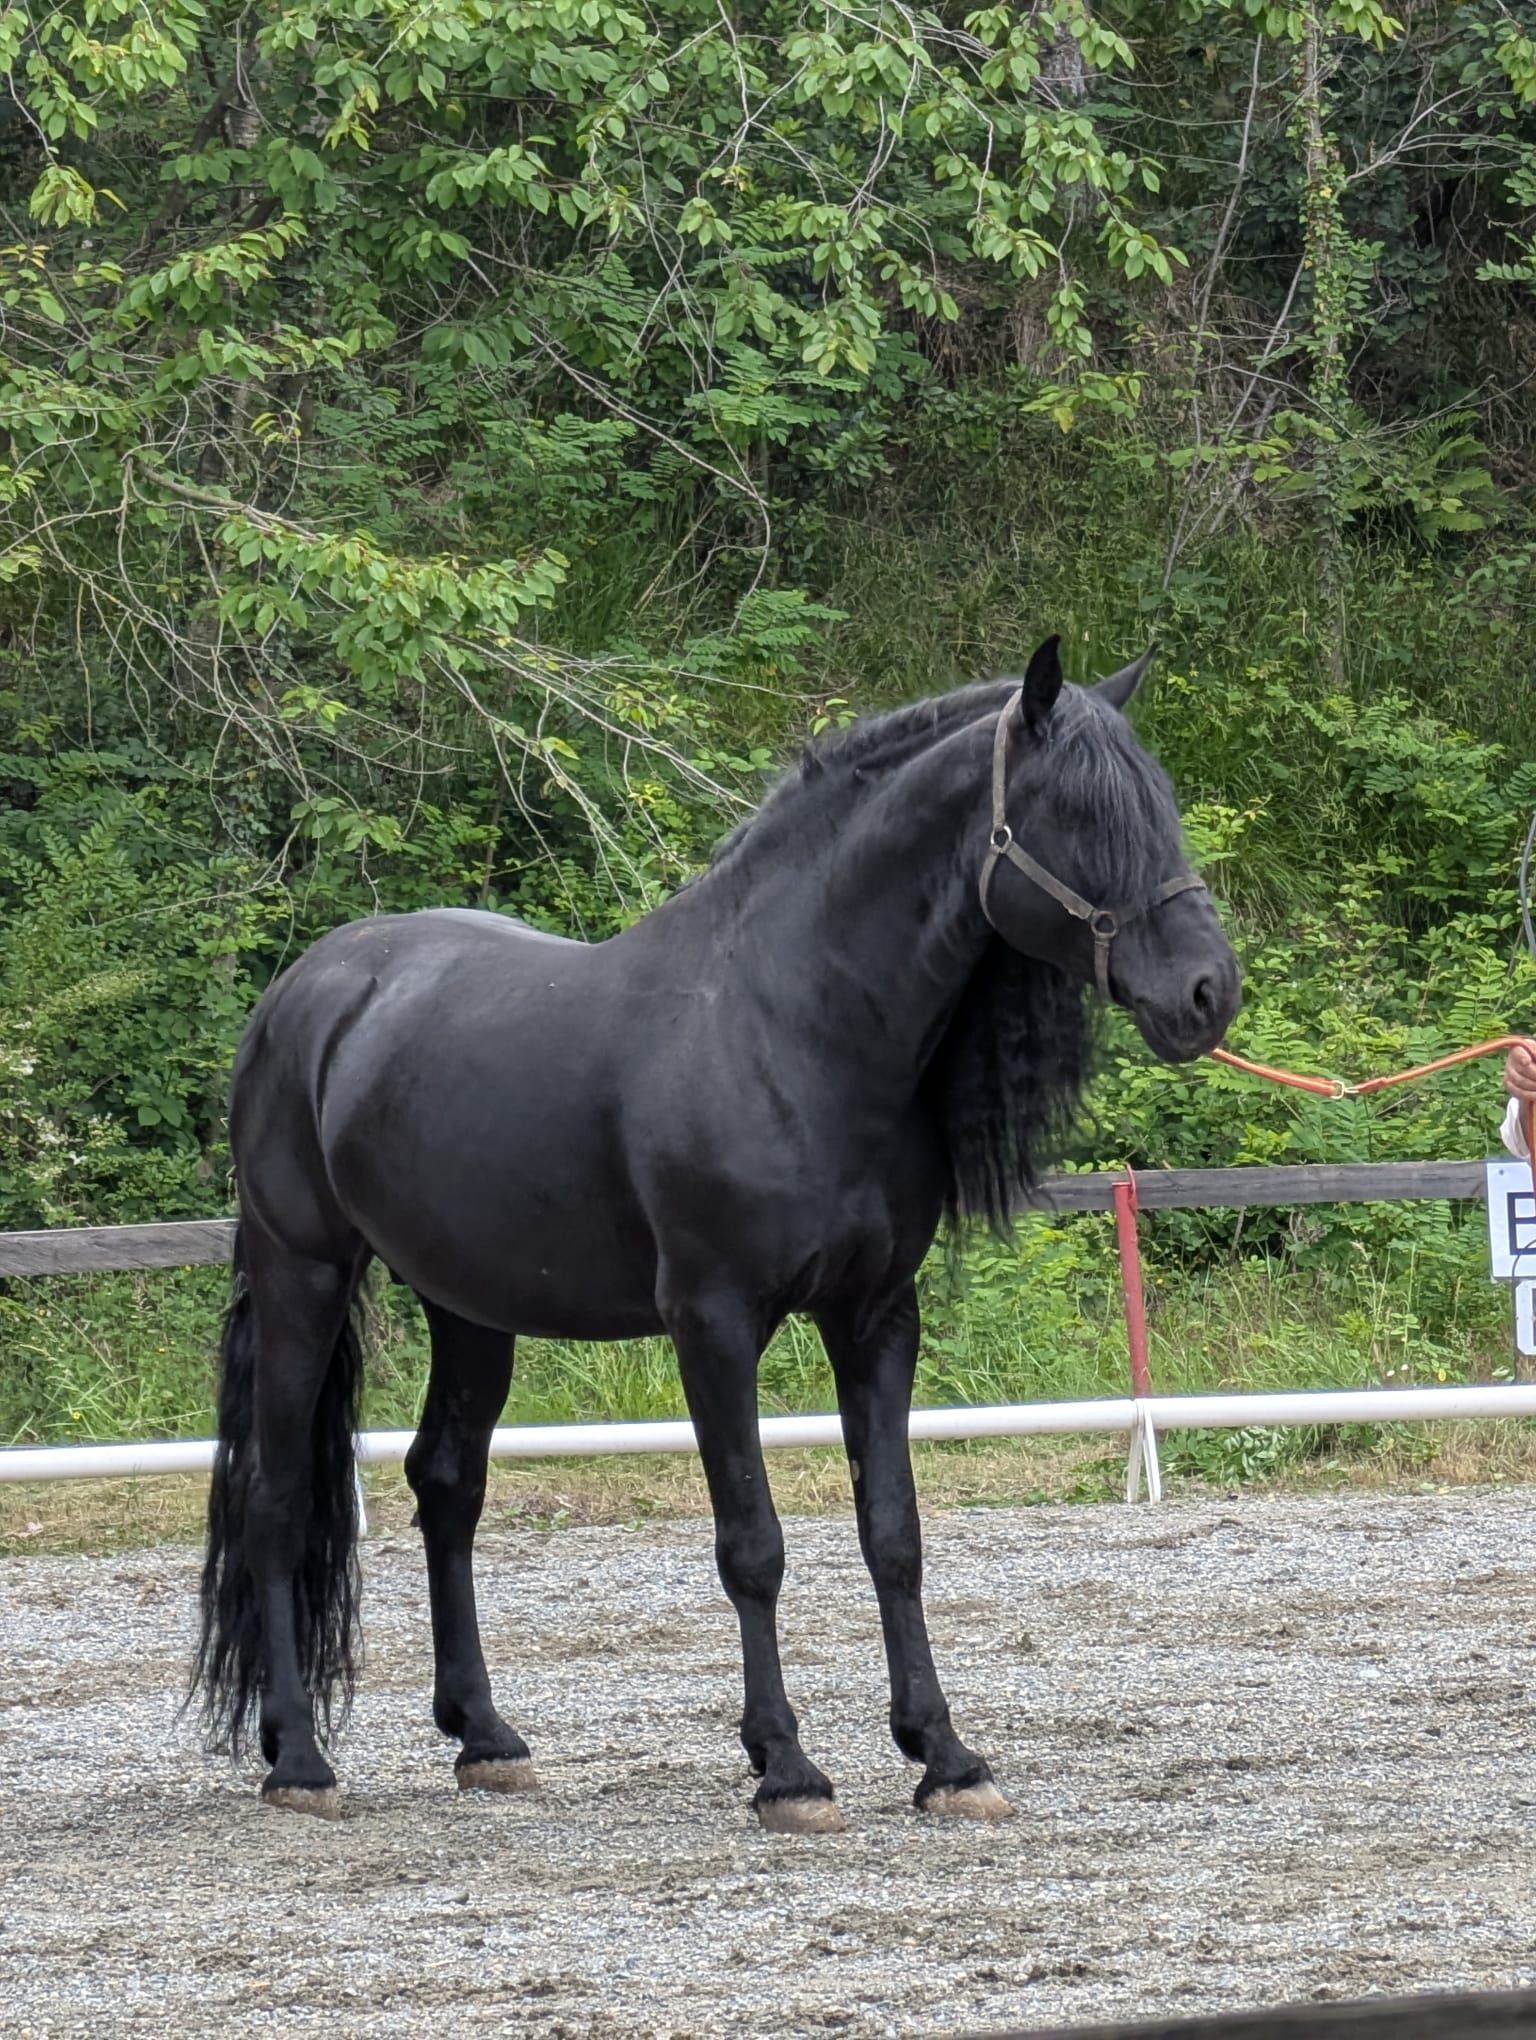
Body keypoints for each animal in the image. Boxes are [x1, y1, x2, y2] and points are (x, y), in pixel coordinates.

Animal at [191, 637, 1240, 1832]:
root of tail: (306, 990)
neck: (793, 1029)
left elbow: (894, 1533)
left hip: (469, 1307)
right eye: (1080, 815)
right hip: (303, 1272)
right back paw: (299, 1758)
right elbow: (754, 1544)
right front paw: (786, 1767)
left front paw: (945, 1756)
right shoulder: (715, 1323)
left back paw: (485, 1738)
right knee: (277, 1498)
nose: (1208, 994)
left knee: (447, 1487)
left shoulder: (876, 1319)